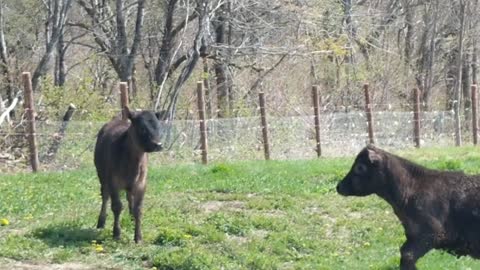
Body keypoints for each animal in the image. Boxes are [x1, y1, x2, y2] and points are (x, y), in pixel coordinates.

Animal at [94, 106, 165, 244]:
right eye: (142, 128)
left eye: (159, 127)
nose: (158, 144)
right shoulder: (113, 182)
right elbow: (117, 206)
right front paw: (116, 233)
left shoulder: (142, 183)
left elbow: (139, 209)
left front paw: (138, 237)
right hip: (102, 177)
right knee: (105, 197)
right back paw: (101, 222)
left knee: (129, 197)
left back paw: (131, 217)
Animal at [336, 146, 480, 270]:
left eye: (360, 167)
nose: (339, 186)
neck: (411, 188)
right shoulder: (413, 235)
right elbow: (404, 252)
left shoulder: (431, 233)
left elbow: (407, 255)